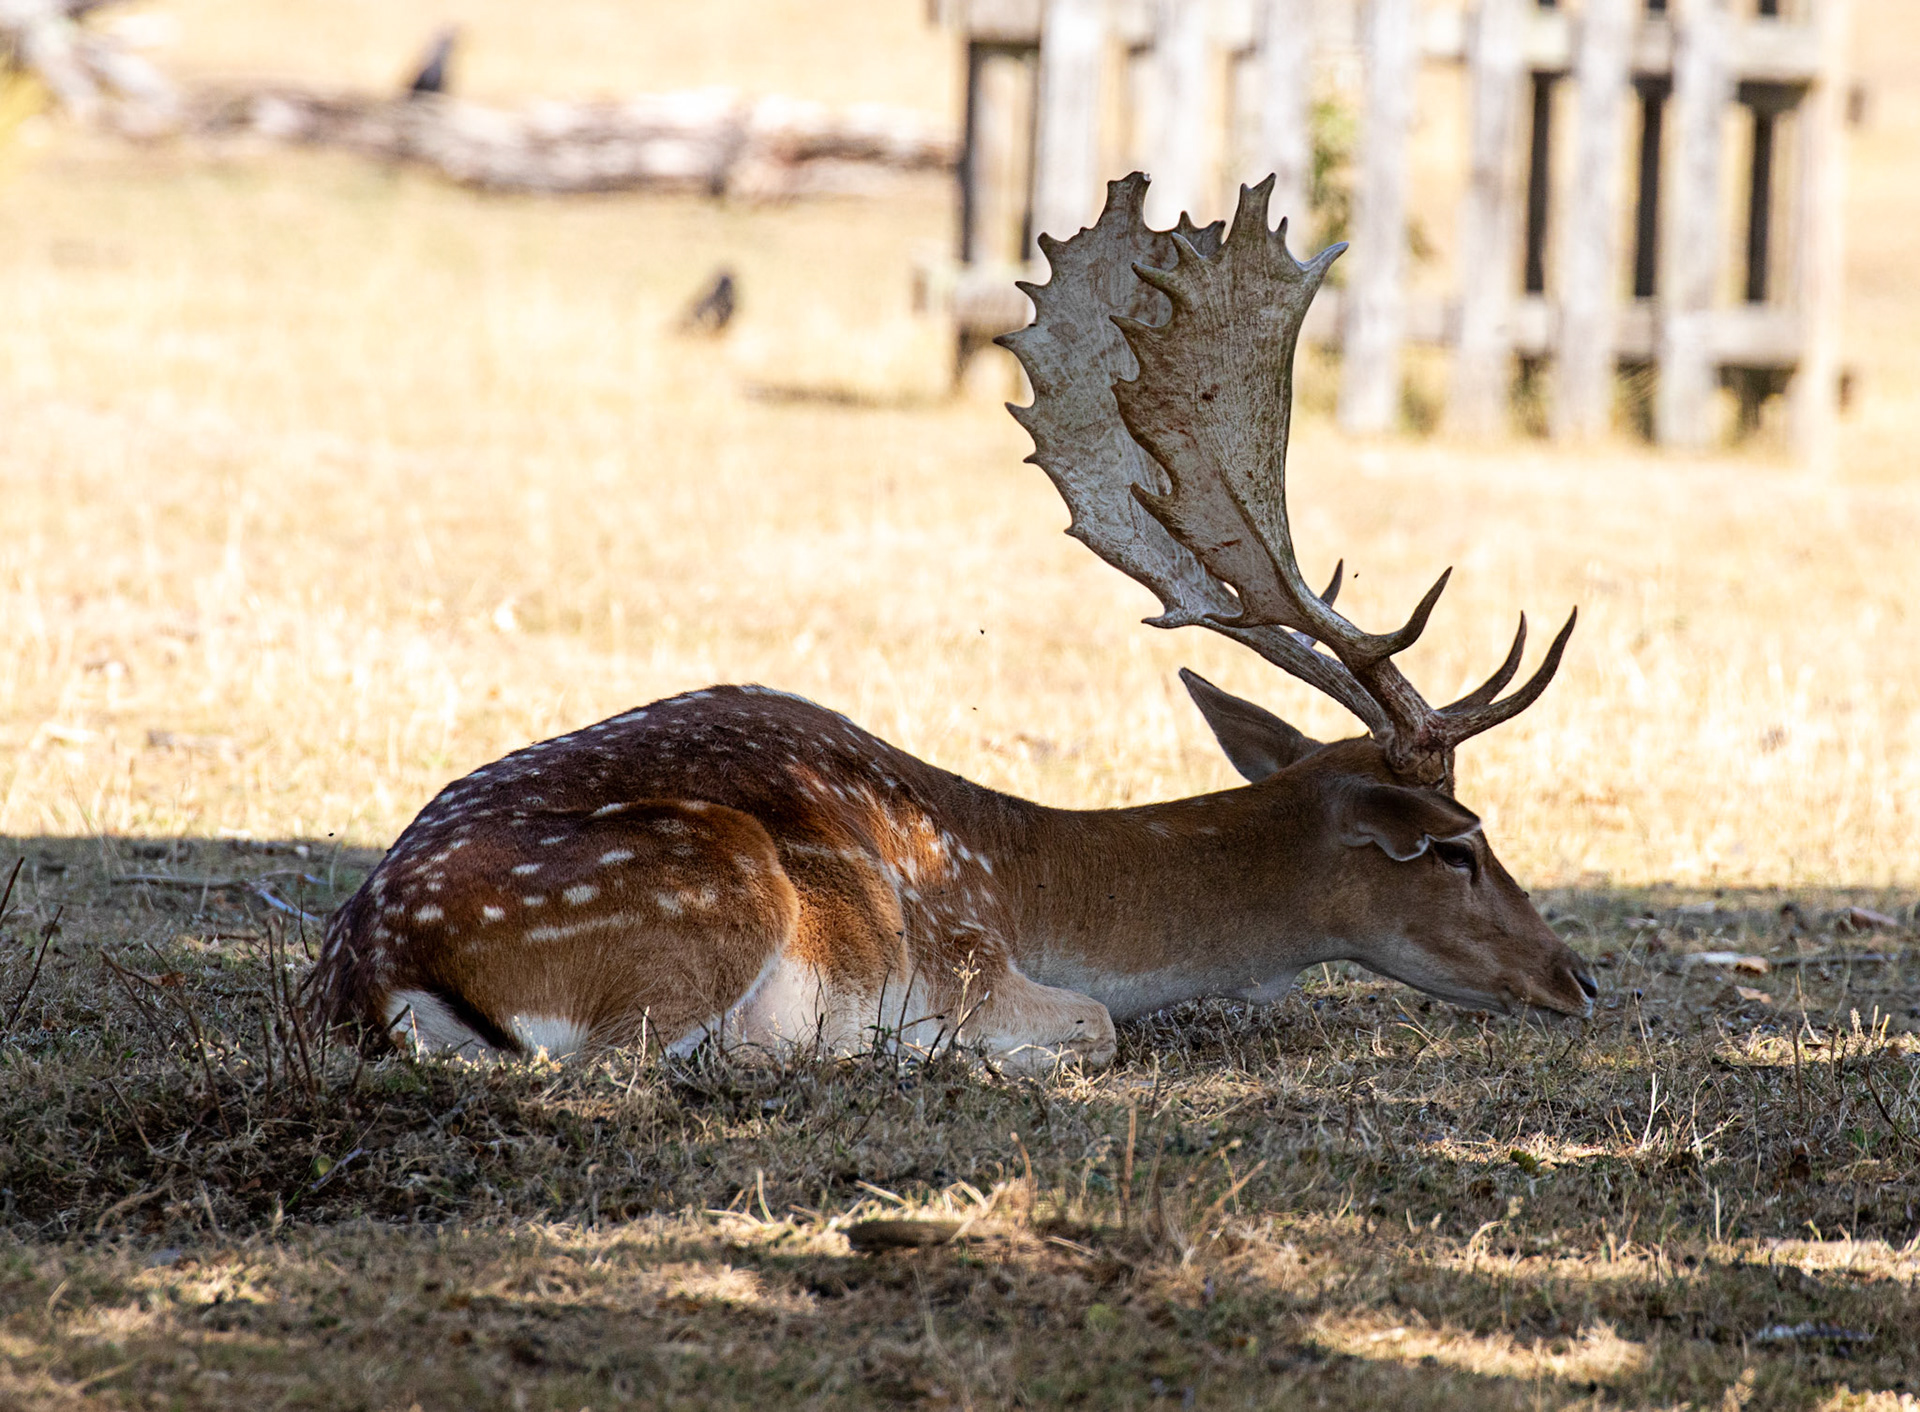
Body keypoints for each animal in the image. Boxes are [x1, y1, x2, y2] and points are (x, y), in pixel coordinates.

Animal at [308, 173, 1597, 1074]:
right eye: (1458, 844)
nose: (1578, 979)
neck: (1031, 891)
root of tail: (374, 965)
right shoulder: (975, 966)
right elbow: (1095, 1027)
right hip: (708, 893)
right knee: (614, 1066)